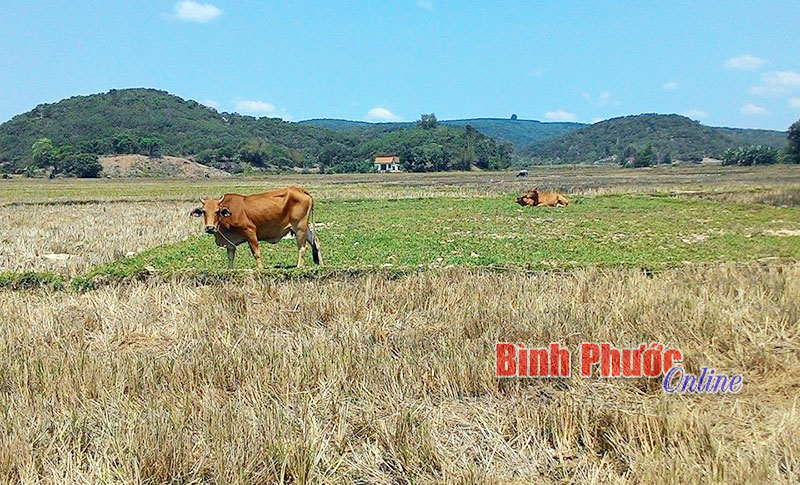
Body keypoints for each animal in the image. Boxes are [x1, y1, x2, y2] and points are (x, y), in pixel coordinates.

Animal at [191, 185, 322, 268]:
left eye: (217, 211)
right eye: (203, 211)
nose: (210, 228)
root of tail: (301, 190)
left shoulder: (250, 232)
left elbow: (256, 253)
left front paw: (260, 269)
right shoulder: (230, 242)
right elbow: (230, 257)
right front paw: (230, 270)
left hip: (299, 227)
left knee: (302, 248)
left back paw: (299, 267)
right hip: (304, 227)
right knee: (315, 241)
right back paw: (321, 264)